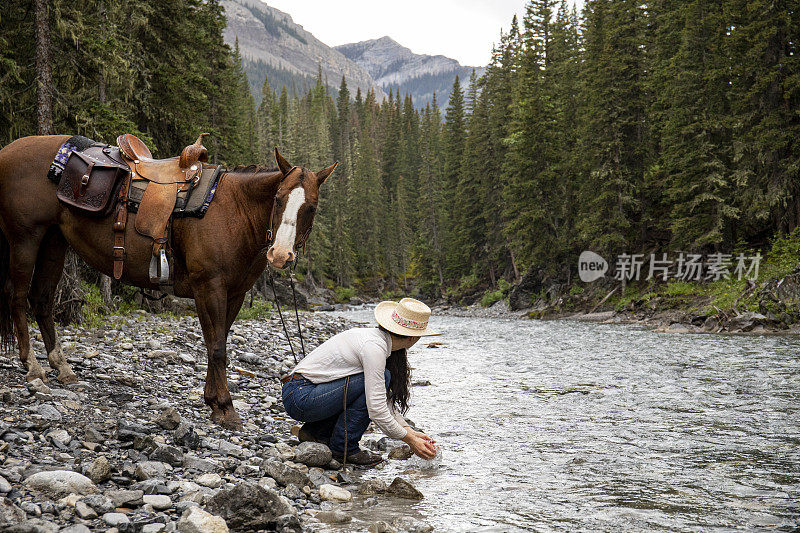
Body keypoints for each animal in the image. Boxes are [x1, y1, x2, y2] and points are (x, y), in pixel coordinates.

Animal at [0, 136, 334, 428]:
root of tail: (7, 151)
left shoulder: (234, 294)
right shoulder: (208, 287)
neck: (232, 212)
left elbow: (219, 342)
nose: (280, 255)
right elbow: (216, 348)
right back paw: (33, 367)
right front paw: (226, 408)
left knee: (42, 300)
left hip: (54, 241)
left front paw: (213, 402)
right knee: (17, 299)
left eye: (312, 207)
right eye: (277, 199)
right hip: (26, 239)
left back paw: (63, 368)